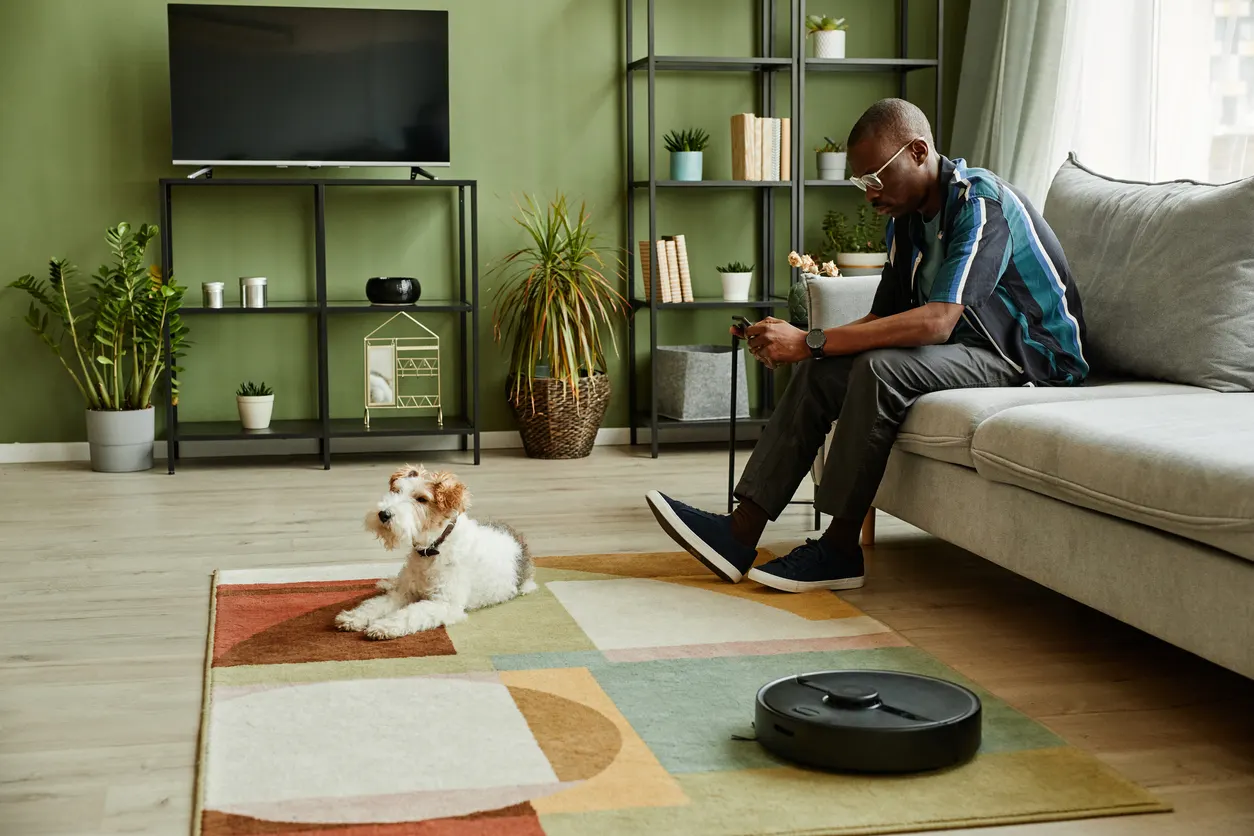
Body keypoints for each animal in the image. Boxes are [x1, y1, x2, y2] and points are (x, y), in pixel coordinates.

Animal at [333, 463, 534, 641]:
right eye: (396, 490)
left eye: (422, 499)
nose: (384, 514)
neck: (433, 548)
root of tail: (517, 537)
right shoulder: (405, 592)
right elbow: (377, 604)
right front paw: (352, 617)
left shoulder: (444, 603)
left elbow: (410, 613)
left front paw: (383, 627)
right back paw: (386, 583)